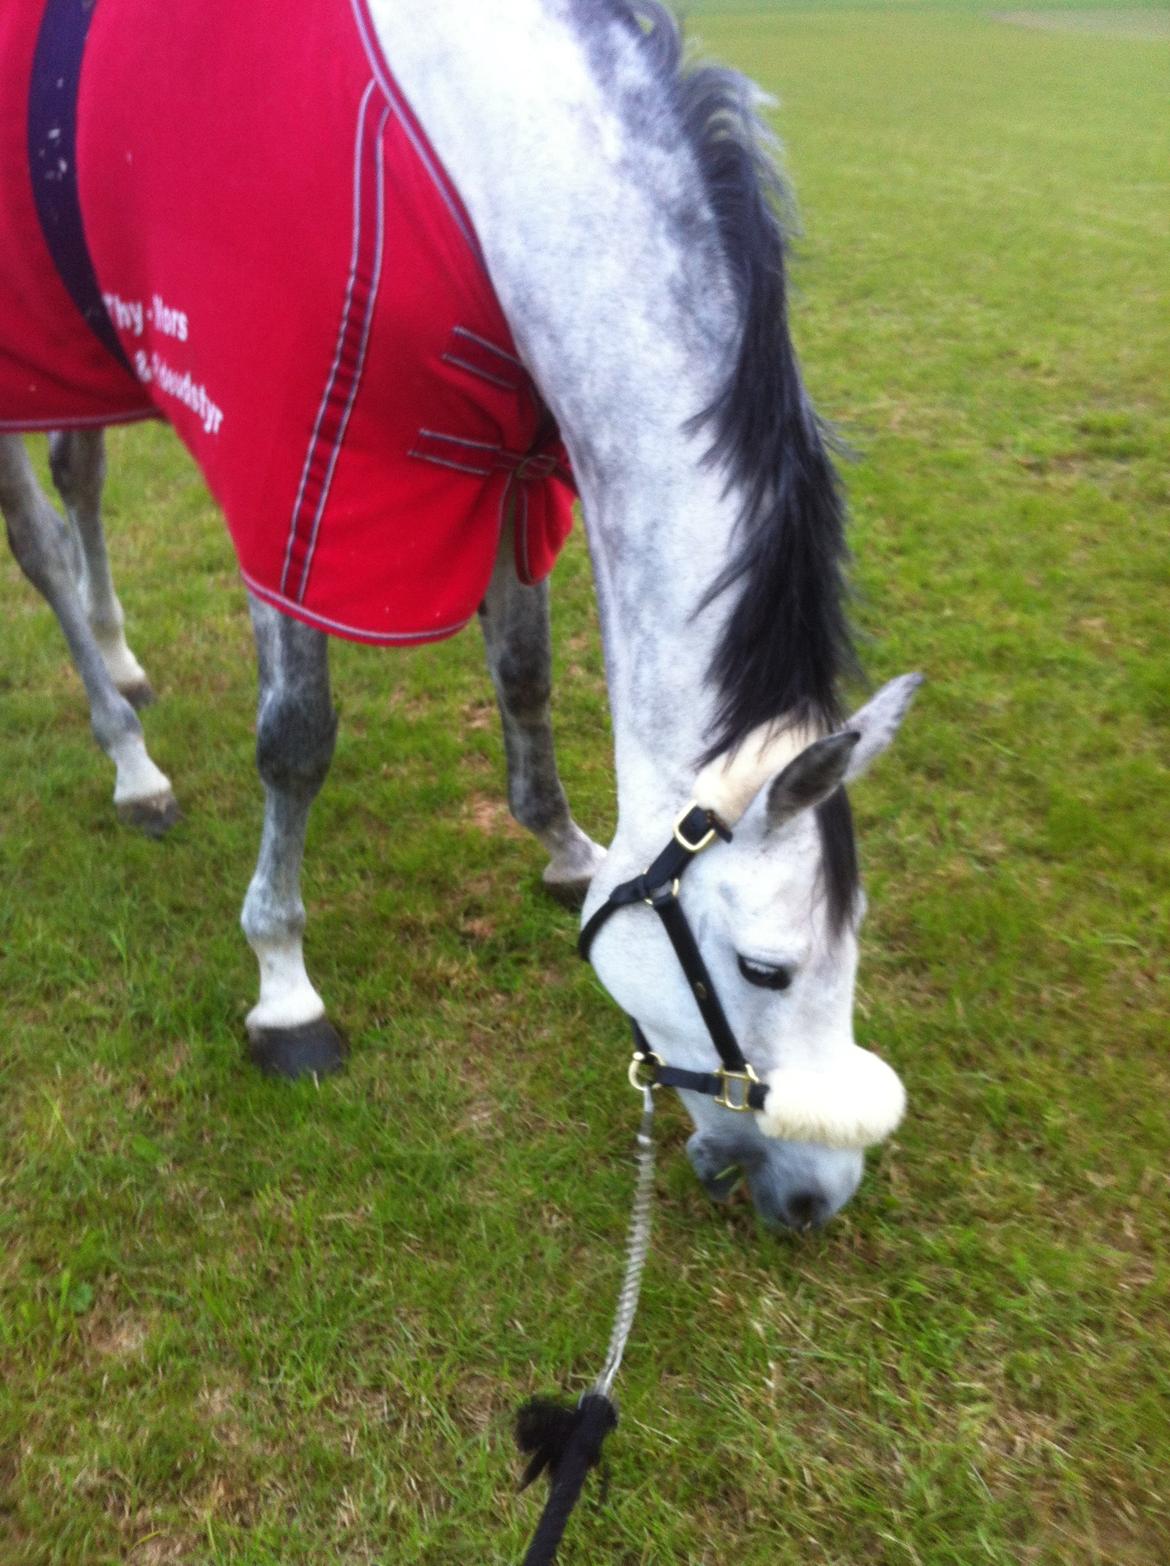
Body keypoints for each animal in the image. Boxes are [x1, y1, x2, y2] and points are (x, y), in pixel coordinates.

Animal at [1, 0, 920, 1231]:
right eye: (767, 968)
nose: (818, 1194)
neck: (463, 147)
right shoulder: (297, 486)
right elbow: (296, 743)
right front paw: (284, 988)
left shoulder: (512, 461)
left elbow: (523, 670)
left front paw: (566, 846)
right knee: (43, 542)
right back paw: (131, 760)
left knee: (82, 479)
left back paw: (122, 660)